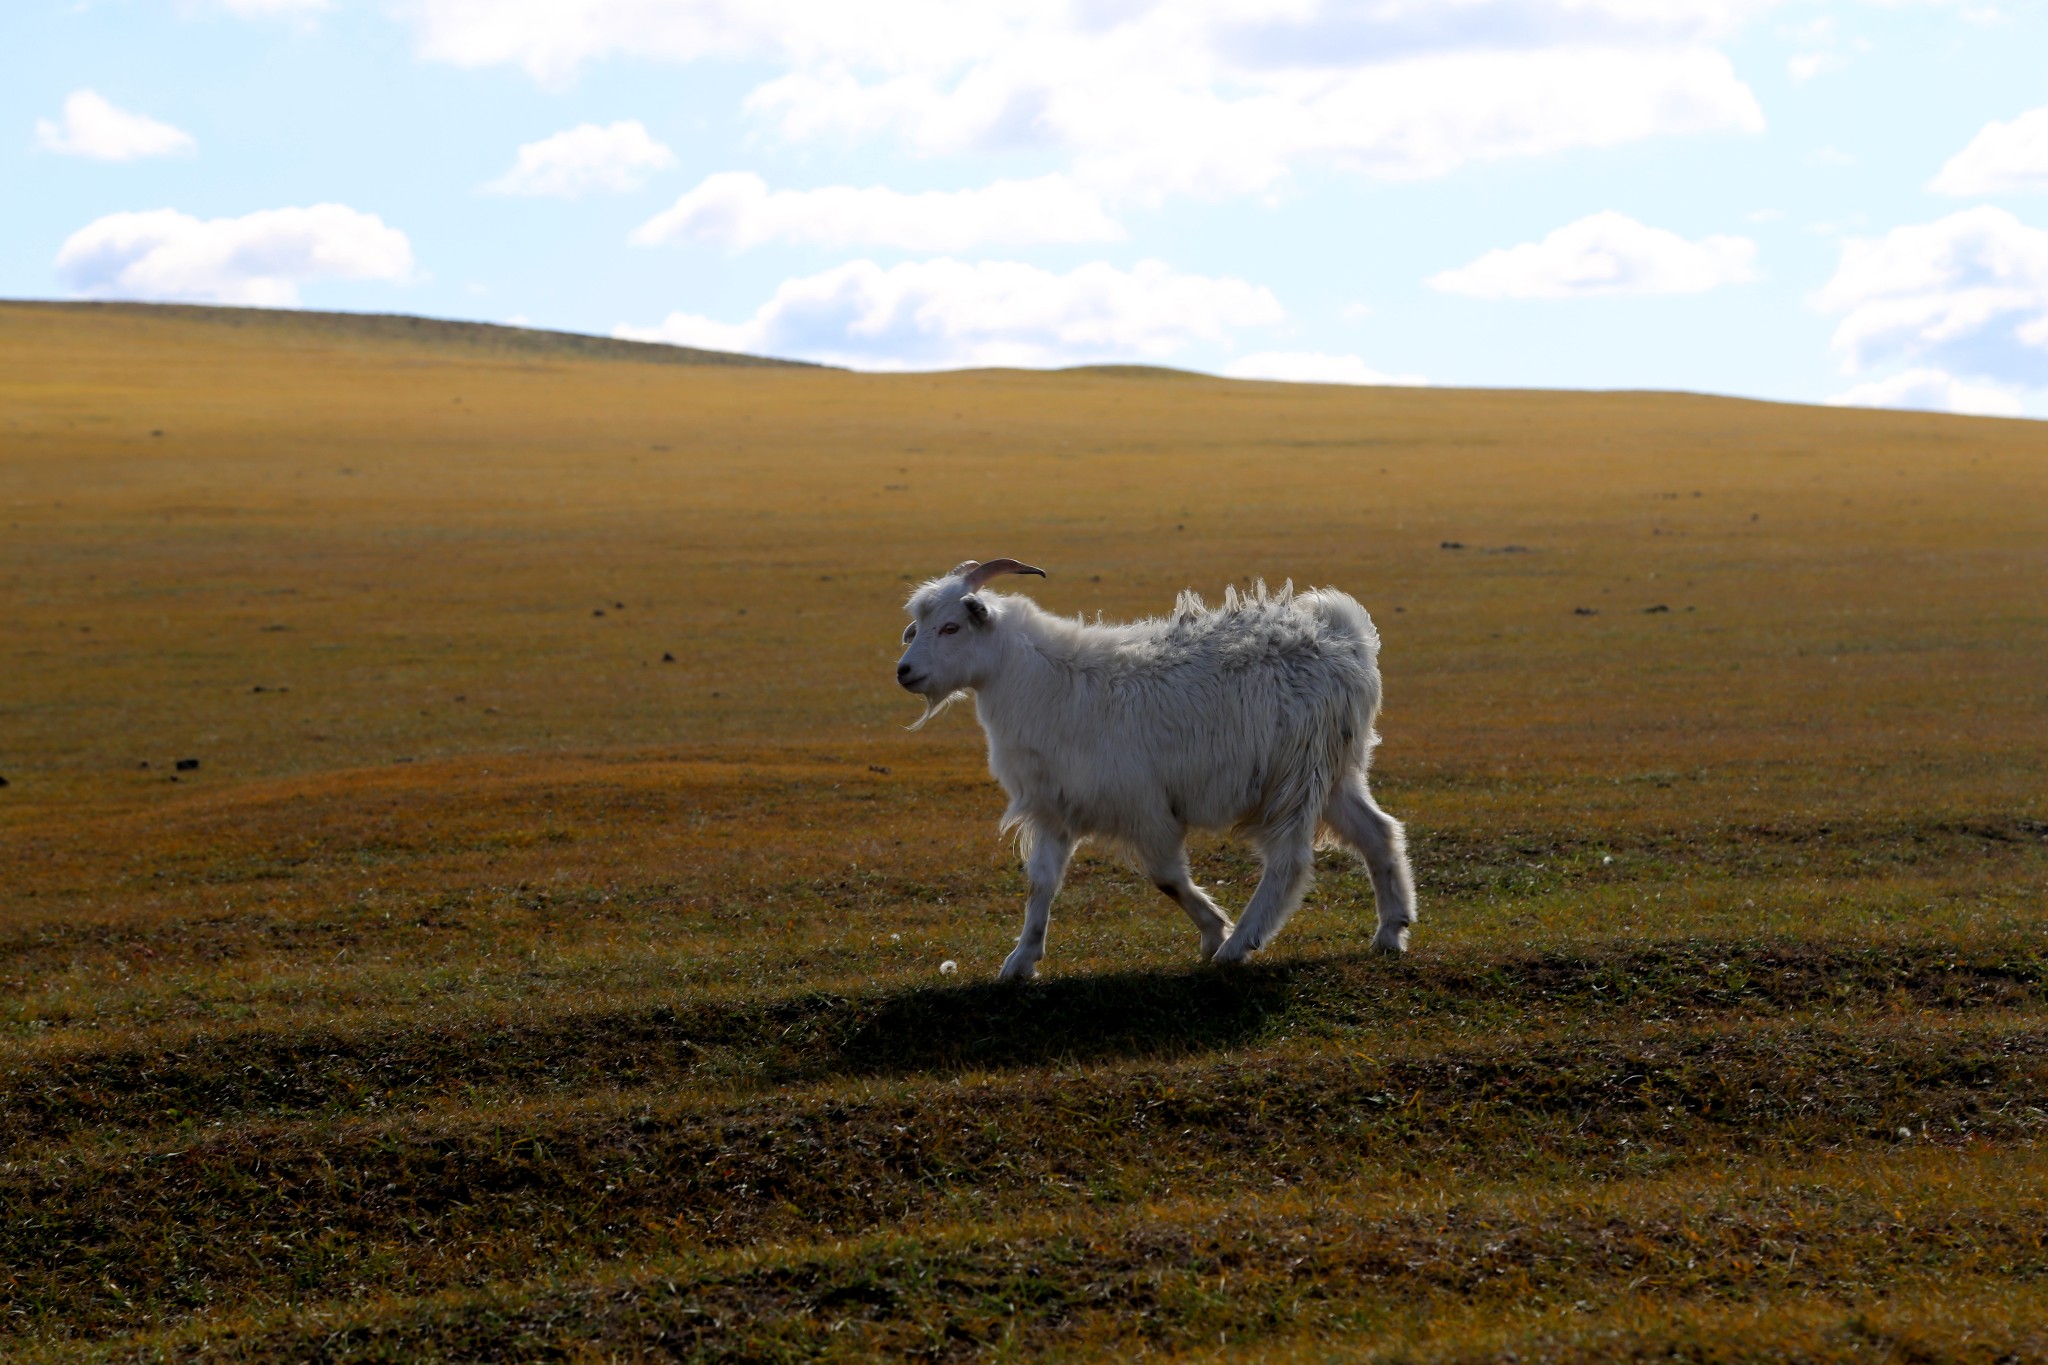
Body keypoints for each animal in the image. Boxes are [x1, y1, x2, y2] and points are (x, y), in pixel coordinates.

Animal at [897, 556, 1425, 982]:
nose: (903, 672)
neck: (1041, 680)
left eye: (952, 627)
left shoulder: (1144, 808)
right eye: (918, 627)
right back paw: (1390, 930)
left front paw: (1214, 931)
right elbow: (1041, 885)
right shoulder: (1053, 808)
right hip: (1333, 772)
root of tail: (1344, 636)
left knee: (1288, 861)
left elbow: (1167, 877)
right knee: (1379, 831)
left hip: (1293, 775)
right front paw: (1020, 961)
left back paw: (1240, 944)